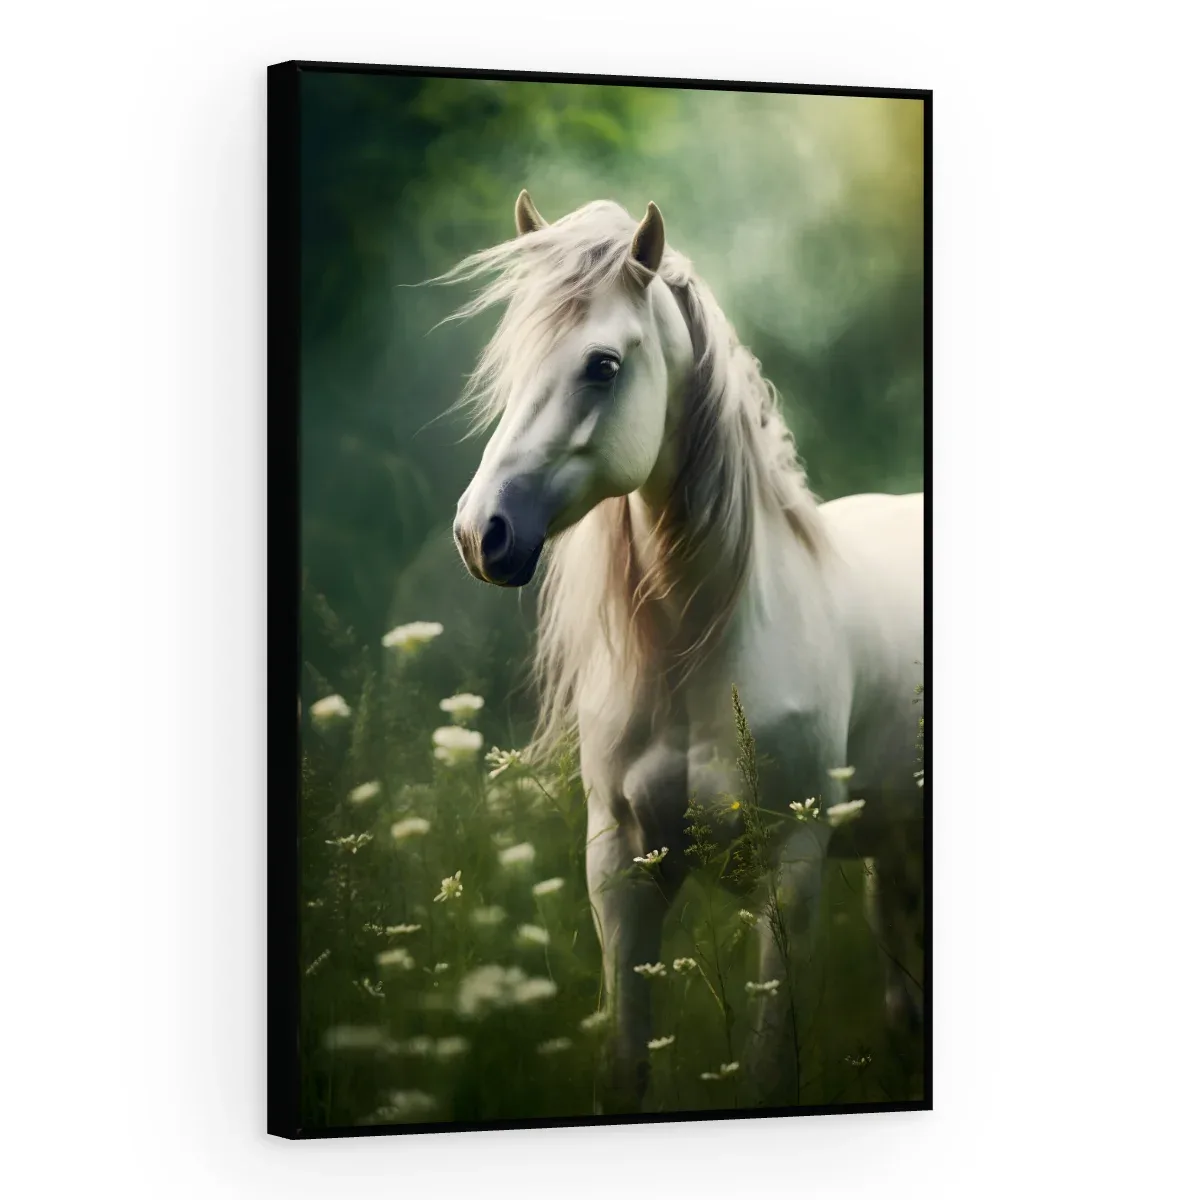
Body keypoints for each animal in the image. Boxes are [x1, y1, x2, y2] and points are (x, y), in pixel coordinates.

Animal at [445, 190, 925, 1110]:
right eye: (512, 361)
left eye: (602, 366)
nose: (482, 534)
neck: (703, 650)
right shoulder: (621, 869)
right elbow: (623, 1064)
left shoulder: (791, 870)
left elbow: (772, 1068)